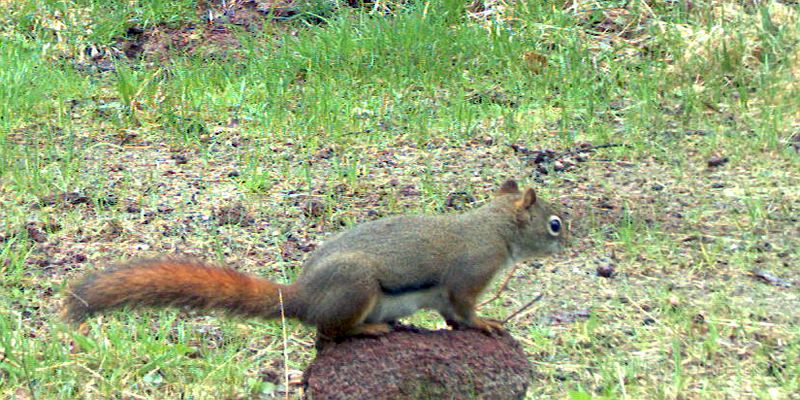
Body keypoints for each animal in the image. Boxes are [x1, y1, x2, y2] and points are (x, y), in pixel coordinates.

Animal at [65, 181, 564, 346]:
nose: (571, 240)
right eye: (555, 224)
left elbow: (451, 316)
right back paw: (370, 329)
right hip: (357, 287)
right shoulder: (469, 274)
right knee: (331, 331)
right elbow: (464, 308)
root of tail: (304, 298)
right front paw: (487, 324)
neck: (493, 228)